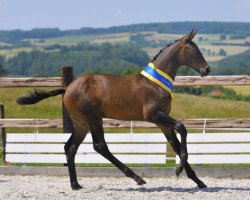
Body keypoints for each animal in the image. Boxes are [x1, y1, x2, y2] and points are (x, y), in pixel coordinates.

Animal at [16, 29, 210, 191]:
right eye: (194, 51)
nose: (206, 69)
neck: (154, 83)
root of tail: (68, 88)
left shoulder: (162, 121)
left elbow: (175, 144)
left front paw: (198, 181)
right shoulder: (154, 116)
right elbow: (182, 128)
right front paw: (178, 170)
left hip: (81, 123)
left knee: (70, 147)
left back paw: (75, 184)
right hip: (93, 118)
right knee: (100, 146)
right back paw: (137, 178)